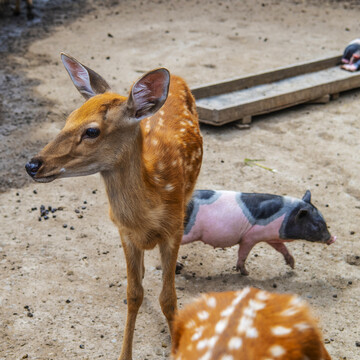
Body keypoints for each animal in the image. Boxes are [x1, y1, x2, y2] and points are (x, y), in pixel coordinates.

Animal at [26, 53, 202, 360]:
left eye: (92, 131)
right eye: (68, 119)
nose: (32, 165)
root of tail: (177, 78)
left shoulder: (174, 229)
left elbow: (168, 299)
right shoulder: (124, 232)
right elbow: (134, 294)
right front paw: (124, 354)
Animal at [181, 191, 336, 276]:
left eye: (323, 220)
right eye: (317, 225)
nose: (332, 238)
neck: (288, 214)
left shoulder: (271, 237)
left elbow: (282, 248)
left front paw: (292, 265)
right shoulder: (251, 237)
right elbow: (243, 254)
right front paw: (245, 273)